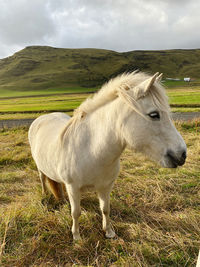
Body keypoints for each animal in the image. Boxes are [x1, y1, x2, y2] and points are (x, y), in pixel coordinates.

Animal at [28, 71, 187, 241]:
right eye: (154, 114)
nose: (182, 154)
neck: (91, 151)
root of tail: (42, 117)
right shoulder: (73, 187)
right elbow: (76, 212)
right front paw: (76, 237)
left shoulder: (105, 186)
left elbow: (105, 208)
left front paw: (109, 232)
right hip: (40, 168)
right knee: (42, 178)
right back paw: (45, 194)